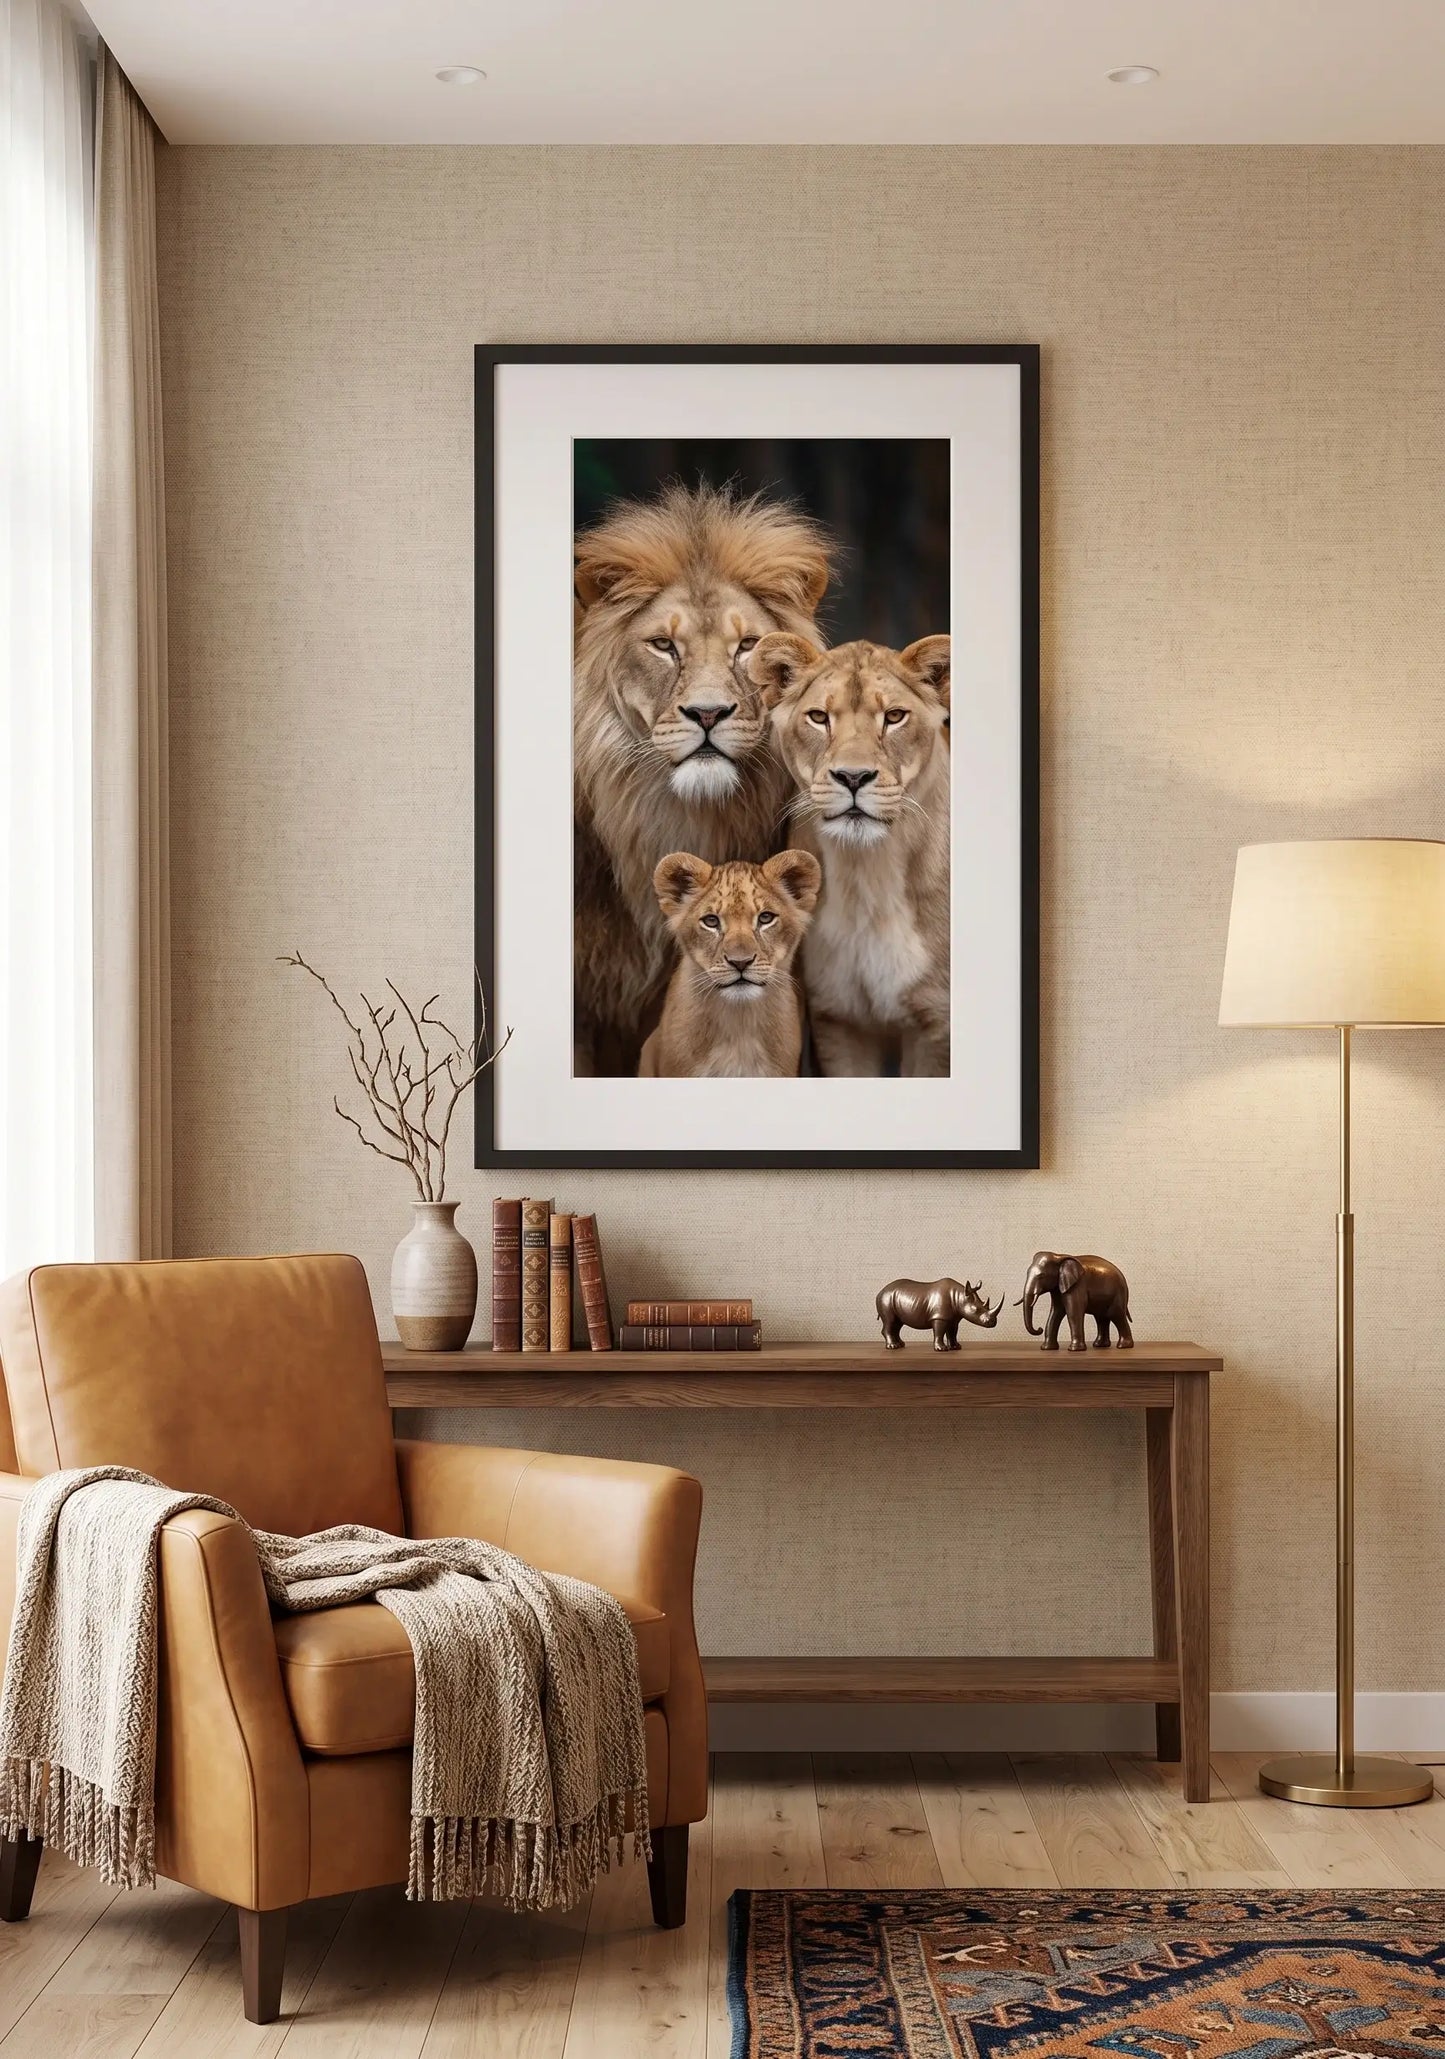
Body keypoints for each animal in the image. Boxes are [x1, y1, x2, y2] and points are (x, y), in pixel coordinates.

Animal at [747, 632, 952, 1078]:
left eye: (894, 716)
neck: (866, 873)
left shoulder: (934, 1024)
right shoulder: (838, 1019)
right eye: (818, 717)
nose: (853, 777)